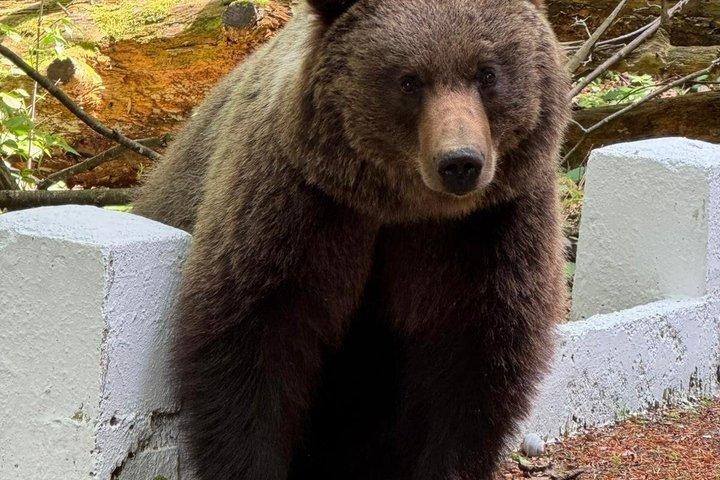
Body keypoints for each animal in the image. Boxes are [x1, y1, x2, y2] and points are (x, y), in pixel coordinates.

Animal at [132, 0, 570, 479]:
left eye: (487, 73)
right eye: (409, 79)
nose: (460, 163)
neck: (402, 209)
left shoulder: (488, 227)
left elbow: (472, 359)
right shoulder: (298, 204)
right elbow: (251, 342)